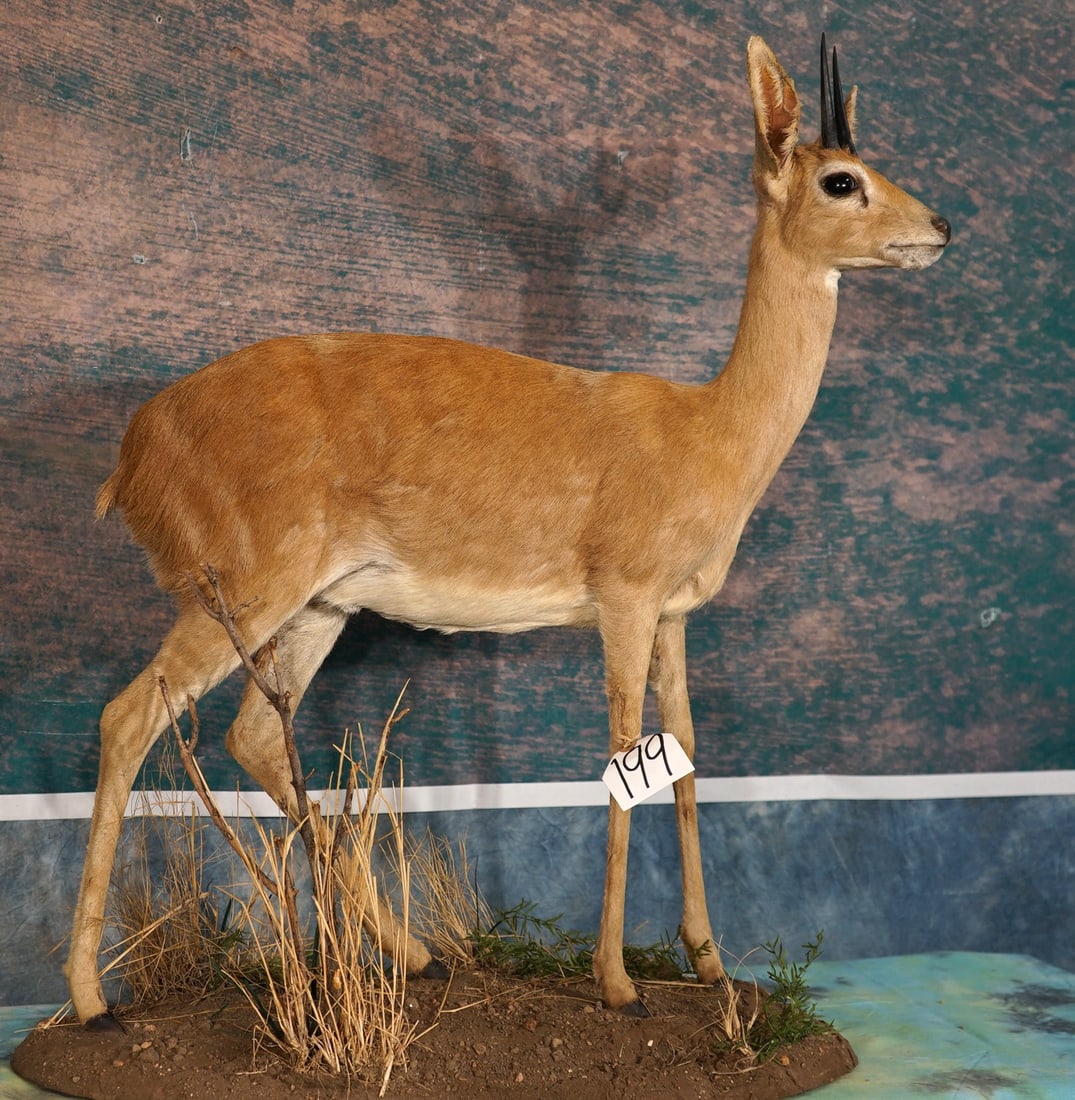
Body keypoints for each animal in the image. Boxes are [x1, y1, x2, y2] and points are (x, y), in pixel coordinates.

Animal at [66, 34, 949, 1027]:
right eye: (841, 179)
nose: (942, 226)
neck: (709, 433)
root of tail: (135, 448)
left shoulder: (676, 616)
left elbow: (683, 761)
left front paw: (711, 967)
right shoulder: (623, 600)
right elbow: (622, 759)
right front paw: (618, 984)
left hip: (318, 609)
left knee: (251, 736)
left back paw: (418, 957)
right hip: (243, 593)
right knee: (128, 718)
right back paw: (93, 1002)